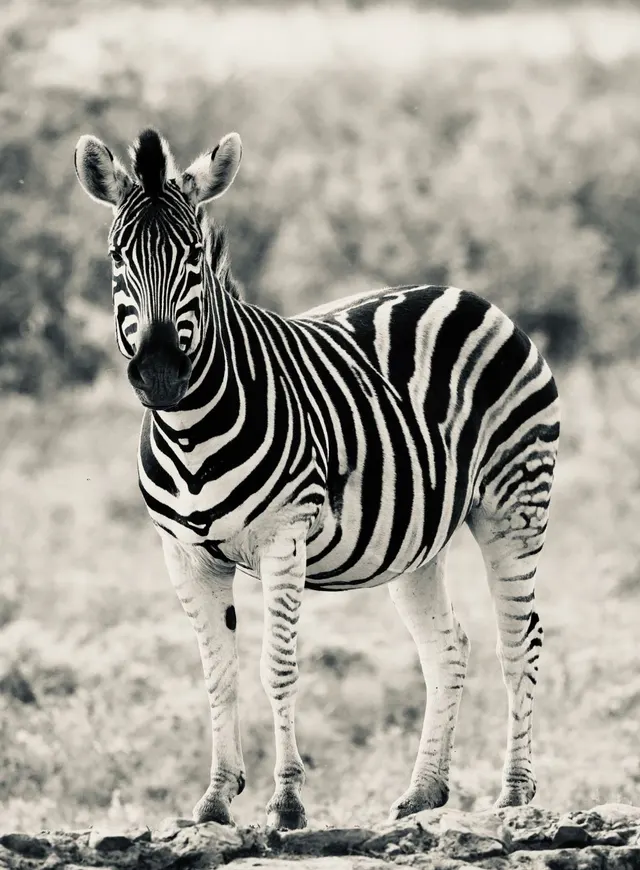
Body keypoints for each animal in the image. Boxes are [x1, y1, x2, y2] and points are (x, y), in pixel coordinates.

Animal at [74, 127, 559, 831]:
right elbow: (218, 674)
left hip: (513, 504)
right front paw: (215, 799)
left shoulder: (285, 535)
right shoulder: (185, 553)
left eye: (194, 257)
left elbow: (277, 667)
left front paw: (287, 802)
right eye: (117, 257)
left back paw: (515, 796)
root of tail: (462, 294)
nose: (161, 373)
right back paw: (423, 792)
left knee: (519, 641)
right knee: (448, 647)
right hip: (418, 539)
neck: (191, 429)